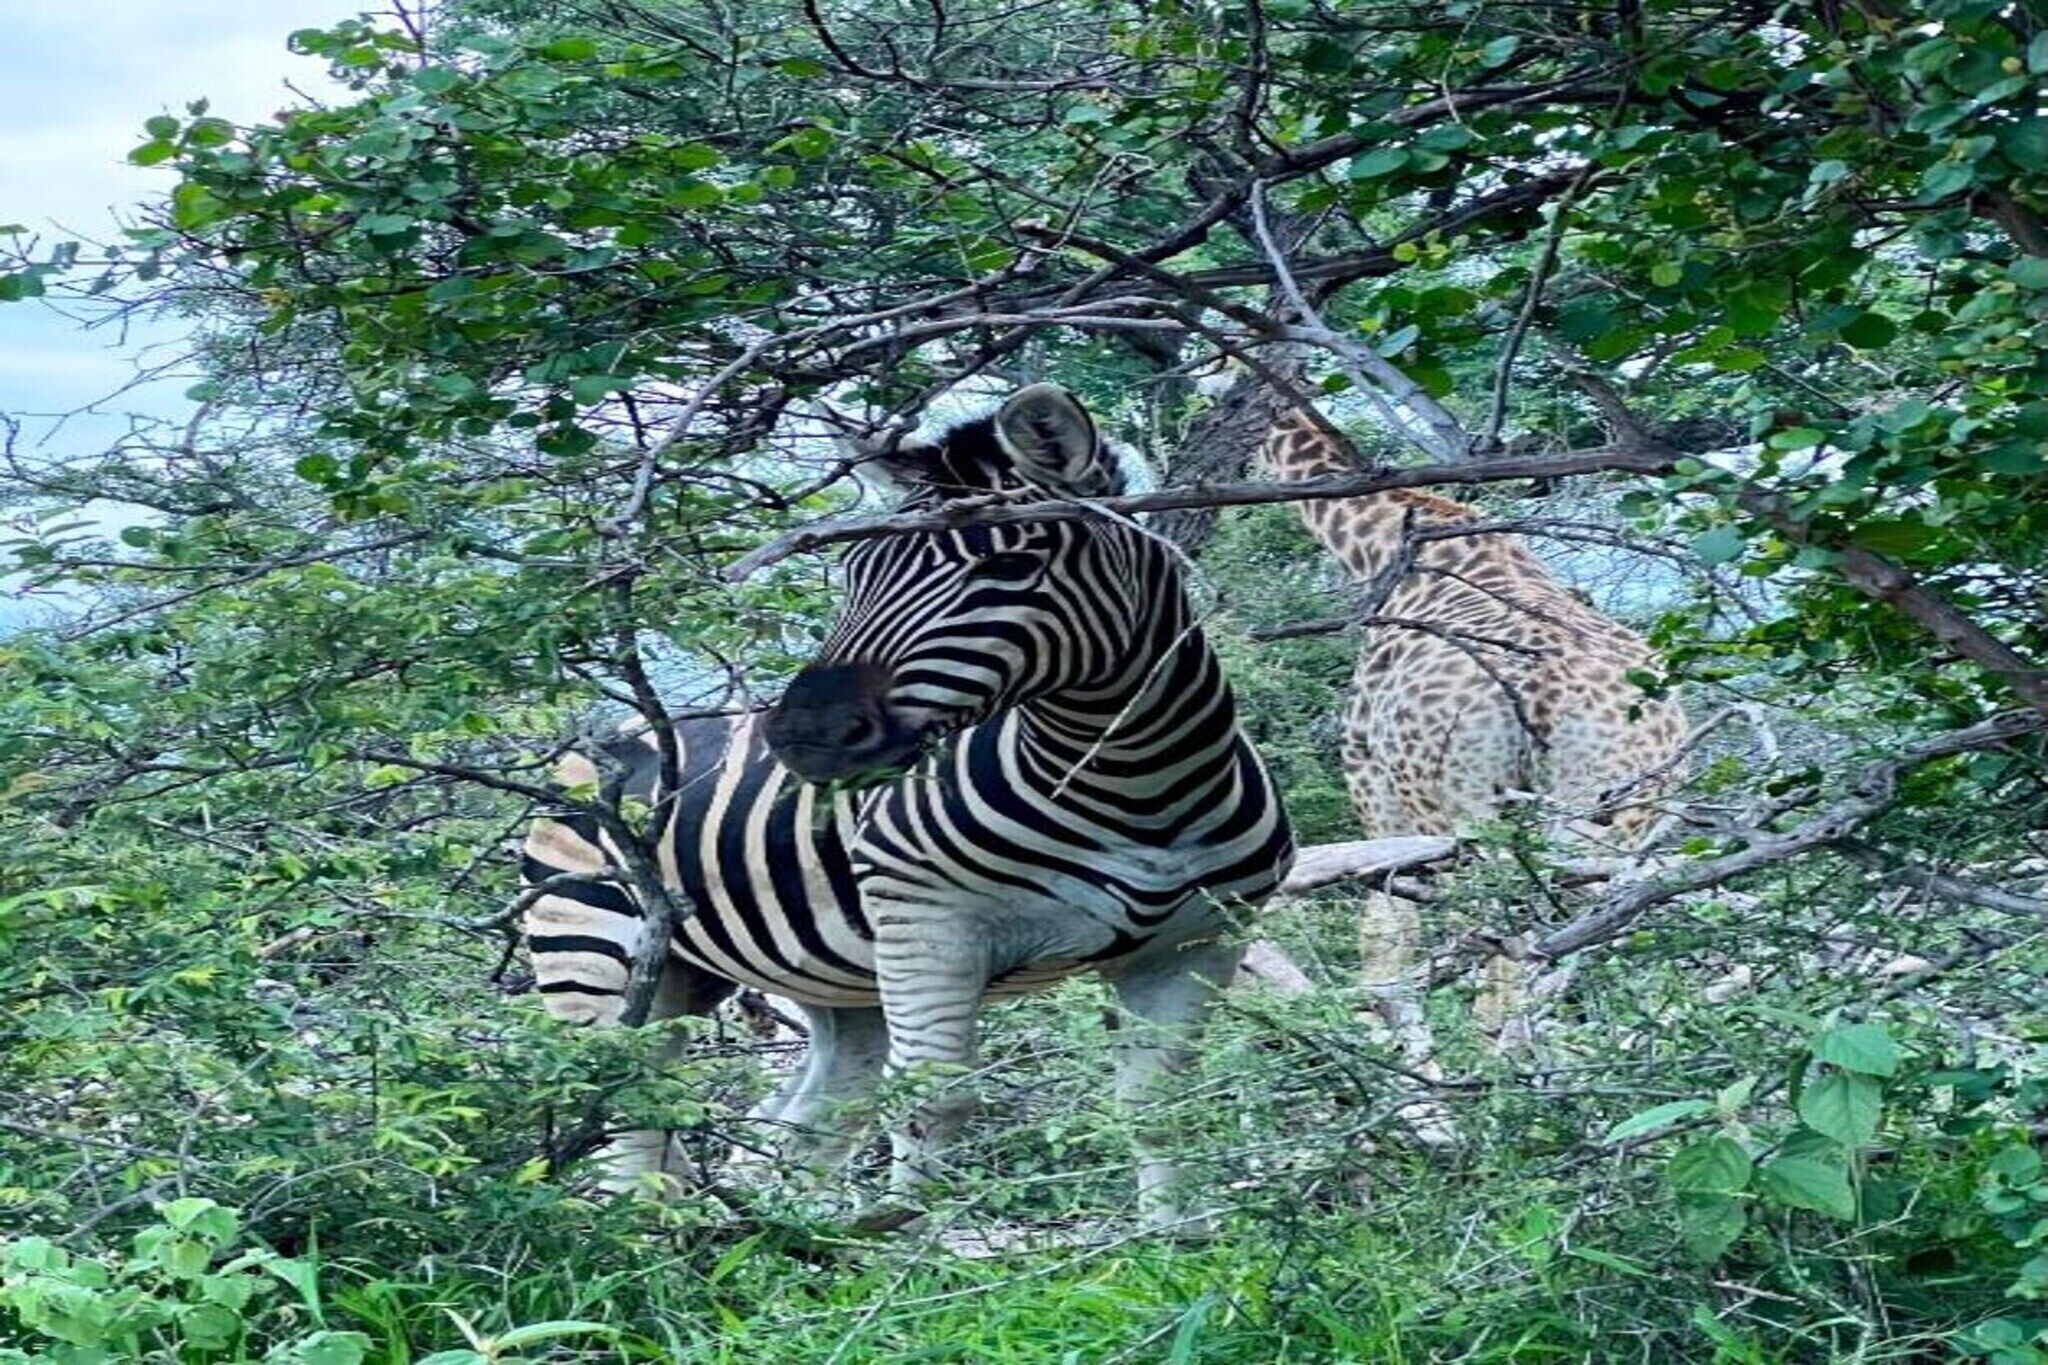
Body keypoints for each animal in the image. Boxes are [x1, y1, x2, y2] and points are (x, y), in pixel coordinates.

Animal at [520, 384, 1295, 1228]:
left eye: (1010, 563)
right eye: (855, 567)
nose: (802, 734)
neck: (1138, 789)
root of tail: (599, 739)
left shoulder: (1196, 943)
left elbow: (1160, 1107)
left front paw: (1171, 1243)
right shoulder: (928, 925)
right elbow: (936, 1105)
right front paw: (904, 1250)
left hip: (809, 979)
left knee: (806, 1117)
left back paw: (769, 1236)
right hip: (592, 951)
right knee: (630, 1107)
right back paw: (634, 1241)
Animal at [1260, 410, 1688, 1071]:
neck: (1383, 548)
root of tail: (1545, 694)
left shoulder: (1367, 772)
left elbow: (1385, 929)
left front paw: (1384, 1035)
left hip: (1464, 807)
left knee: (1502, 928)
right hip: (1615, 812)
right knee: (1581, 927)